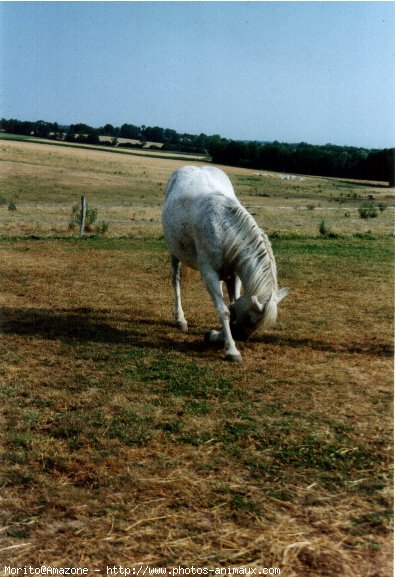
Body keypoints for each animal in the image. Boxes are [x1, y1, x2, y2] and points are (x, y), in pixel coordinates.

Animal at [161, 164, 288, 360]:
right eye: (250, 318)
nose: (240, 336)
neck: (224, 229)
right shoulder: (209, 274)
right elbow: (224, 310)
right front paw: (231, 349)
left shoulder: (234, 274)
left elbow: (232, 306)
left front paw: (215, 336)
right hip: (175, 253)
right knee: (176, 281)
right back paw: (180, 319)